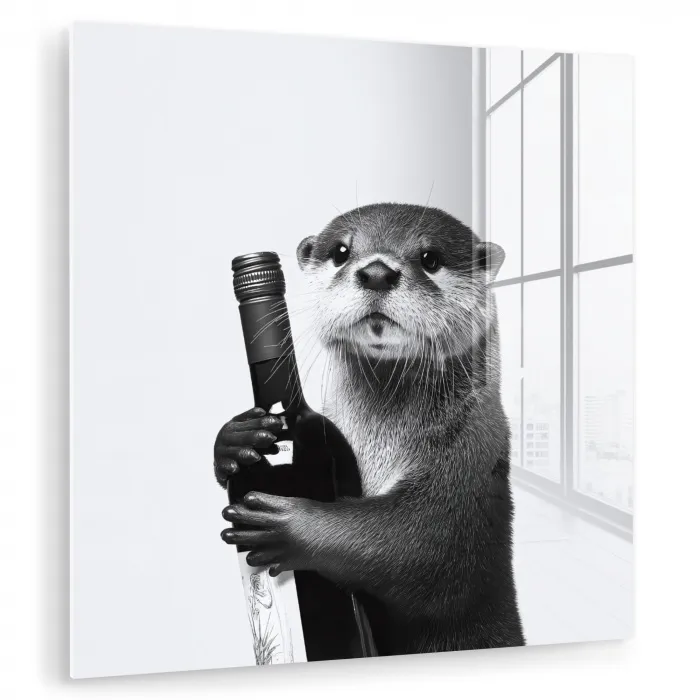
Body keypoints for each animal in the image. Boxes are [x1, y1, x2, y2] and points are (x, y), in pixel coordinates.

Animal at [215, 203, 525, 656]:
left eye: (430, 258)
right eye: (342, 251)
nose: (377, 271)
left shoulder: (468, 463)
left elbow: (416, 541)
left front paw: (290, 525)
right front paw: (235, 440)